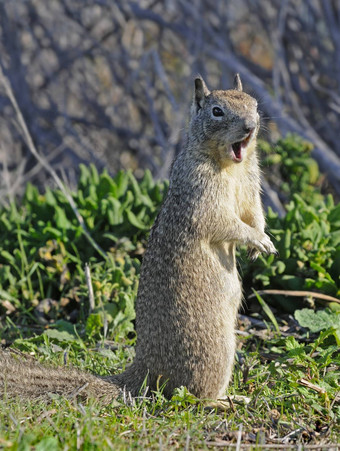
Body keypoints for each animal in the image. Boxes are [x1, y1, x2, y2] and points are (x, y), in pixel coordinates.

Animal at [0, 76, 276, 404]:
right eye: (217, 111)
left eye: (254, 105)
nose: (250, 126)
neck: (231, 165)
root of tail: (145, 373)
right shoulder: (202, 197)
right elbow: (224, 223)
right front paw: (256, 240)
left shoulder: (250, 187)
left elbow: (254, 214)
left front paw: (262, 243)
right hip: (216, 352)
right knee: (192, 394)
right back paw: (226, 401)